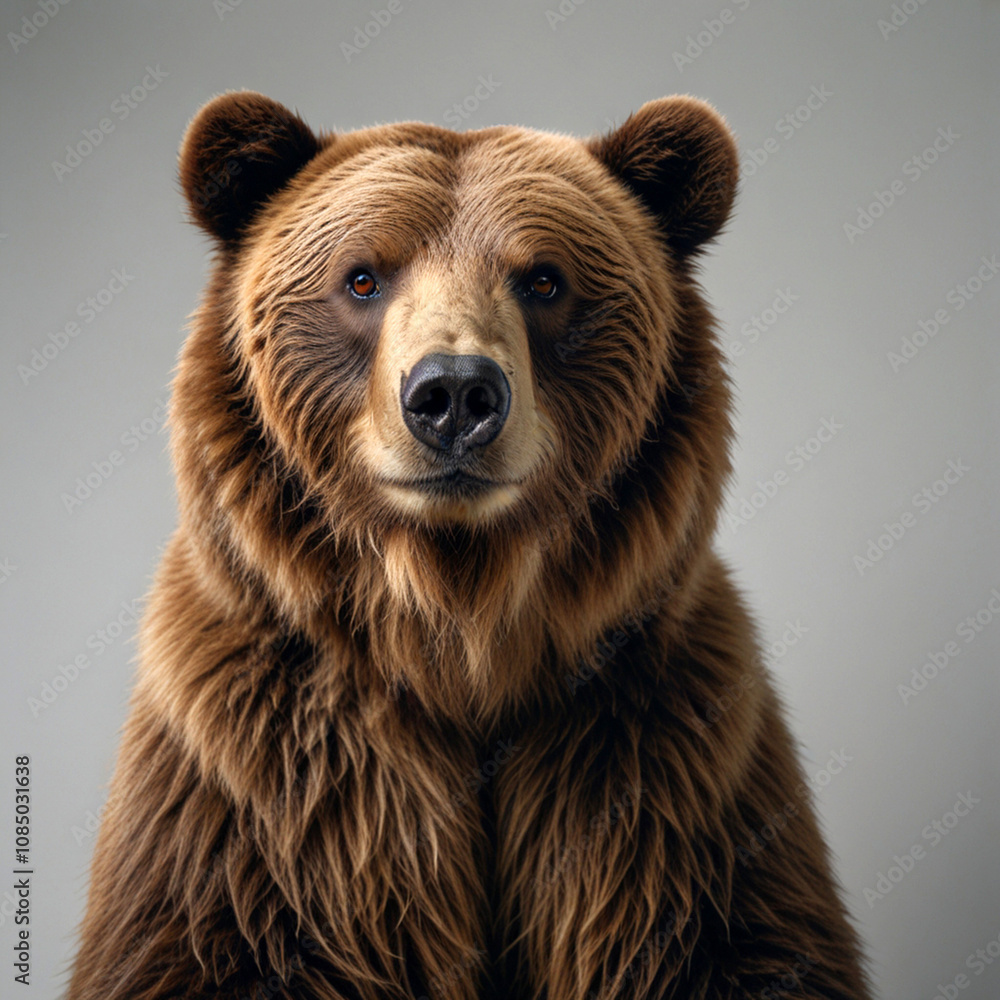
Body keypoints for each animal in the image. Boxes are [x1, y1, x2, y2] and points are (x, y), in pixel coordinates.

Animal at [66, 91, 872, 1000]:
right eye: (362, 276)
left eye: (544, 278)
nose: (454, 393)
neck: (459, 624)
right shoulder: (261, 808)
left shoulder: (658, 777)